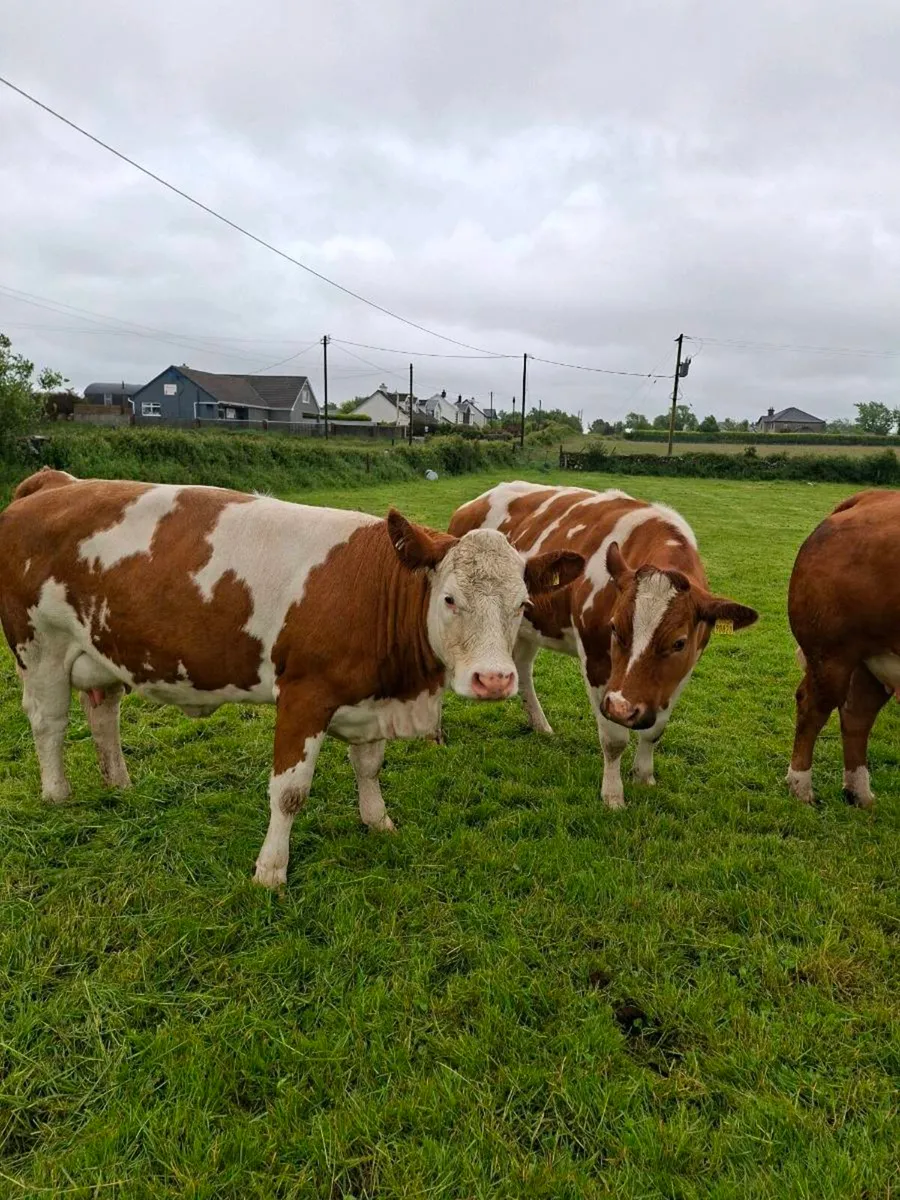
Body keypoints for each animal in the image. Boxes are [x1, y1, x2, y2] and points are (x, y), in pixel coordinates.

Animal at [0, 469, 584, 886]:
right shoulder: (304, 696)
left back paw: (119, 784)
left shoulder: (370, 698)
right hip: (39, 646)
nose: (495, 679)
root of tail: (54, 484)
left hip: (97, 649)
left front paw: (377, 821)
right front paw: (270, 871)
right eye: (450, 599)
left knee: (103, 711)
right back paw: (57, 794)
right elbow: (289, 792)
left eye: (523, 604)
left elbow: (369, 766)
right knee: (49, 722)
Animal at [449, 481, 758, 807]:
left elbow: (655, 730)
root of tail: (473, 503)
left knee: (522, 666)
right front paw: (613, 795)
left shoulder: (680, 673)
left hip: (527, 624)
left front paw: (644, 776)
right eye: (614, 628)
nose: (624, 709)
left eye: (679, 642)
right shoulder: (596, 659)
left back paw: (540, 725)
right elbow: (614, 739)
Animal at [787, 489, 900, 809]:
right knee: (813, 706)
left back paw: (859, 793)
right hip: (832, 653)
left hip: (870, 658)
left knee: (857, 714)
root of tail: (870, 497)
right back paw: (801, 788)